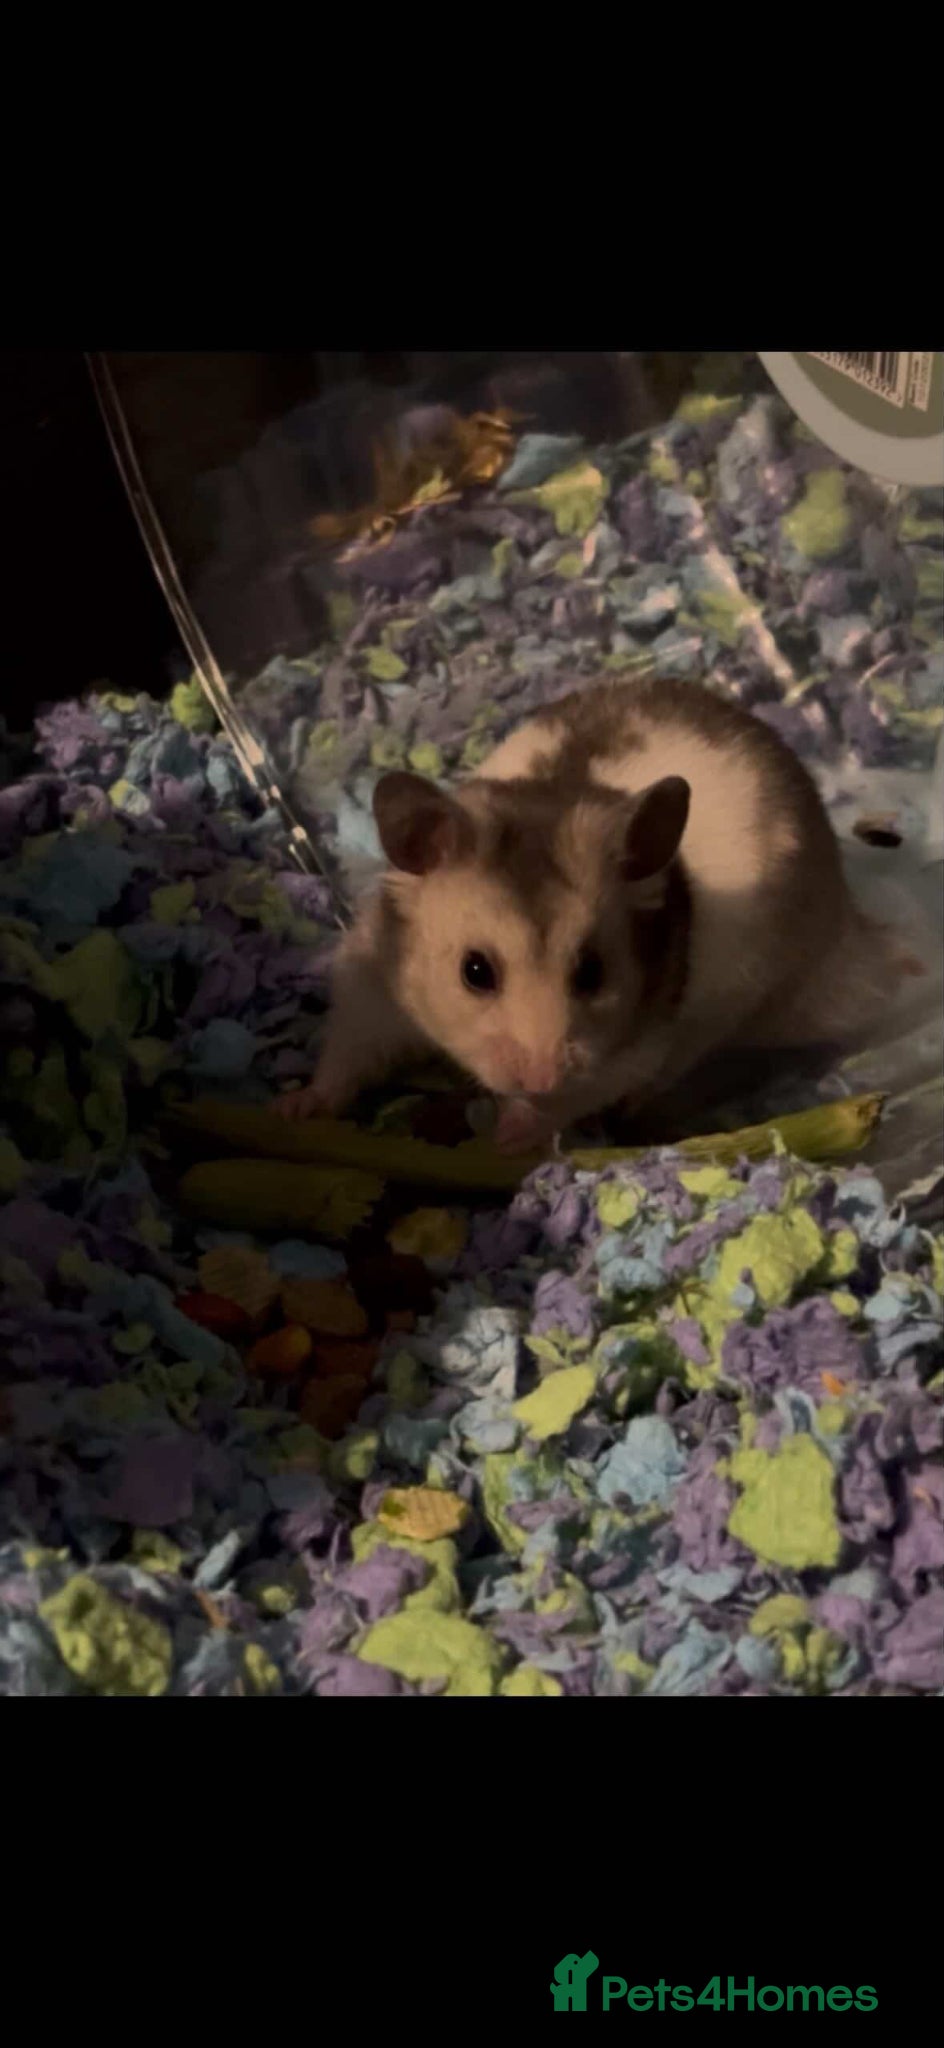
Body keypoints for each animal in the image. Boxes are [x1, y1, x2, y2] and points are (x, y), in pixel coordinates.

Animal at [278, 677, 915, 1153]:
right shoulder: (371, 985)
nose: (539, 1076)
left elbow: (576, 1095)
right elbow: (346, 1055)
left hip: (737, 1002)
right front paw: (297, 1108)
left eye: (592, 973)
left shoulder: (633, 1048)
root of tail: (846, 920)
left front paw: (507, 1138)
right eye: (474, 972)